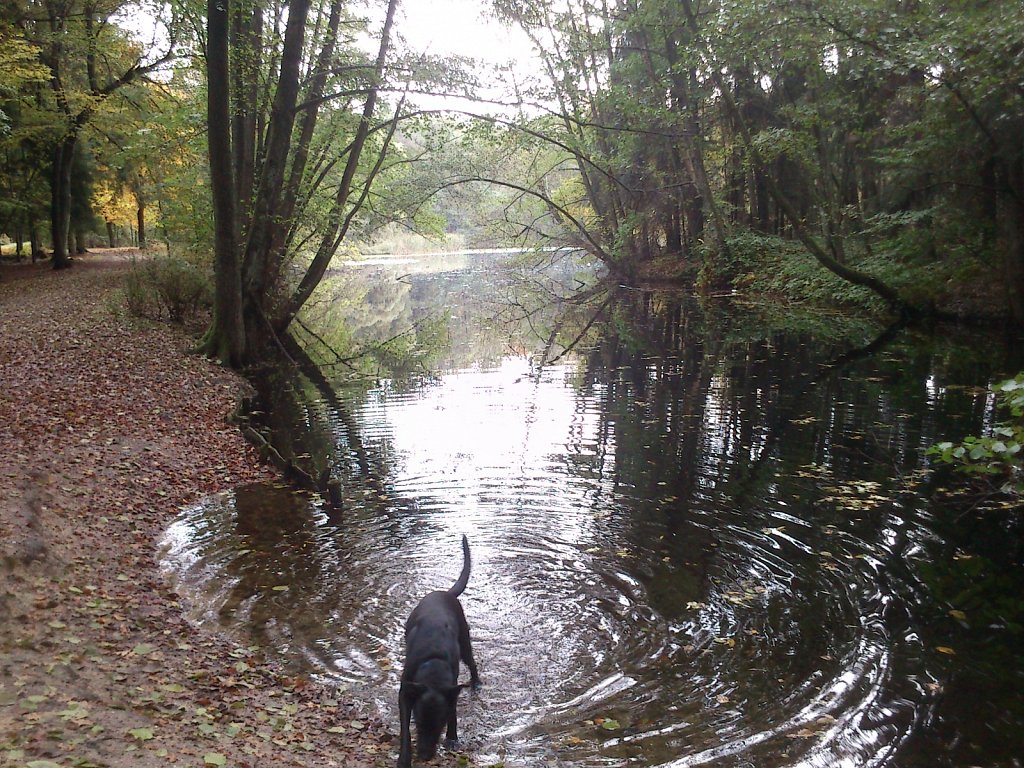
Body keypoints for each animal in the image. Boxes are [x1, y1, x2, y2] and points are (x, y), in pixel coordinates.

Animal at [397, 536, 481, 768]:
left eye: (439, 725)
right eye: (419, 723)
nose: (425, 756)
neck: (433, 662)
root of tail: (445, 593)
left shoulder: (451, 689)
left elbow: (453, 712)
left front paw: (452, 738)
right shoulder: (405, 692)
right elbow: (405, 731)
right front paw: (404, 759)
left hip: (465, 641)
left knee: (472, 663)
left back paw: (477, 683)